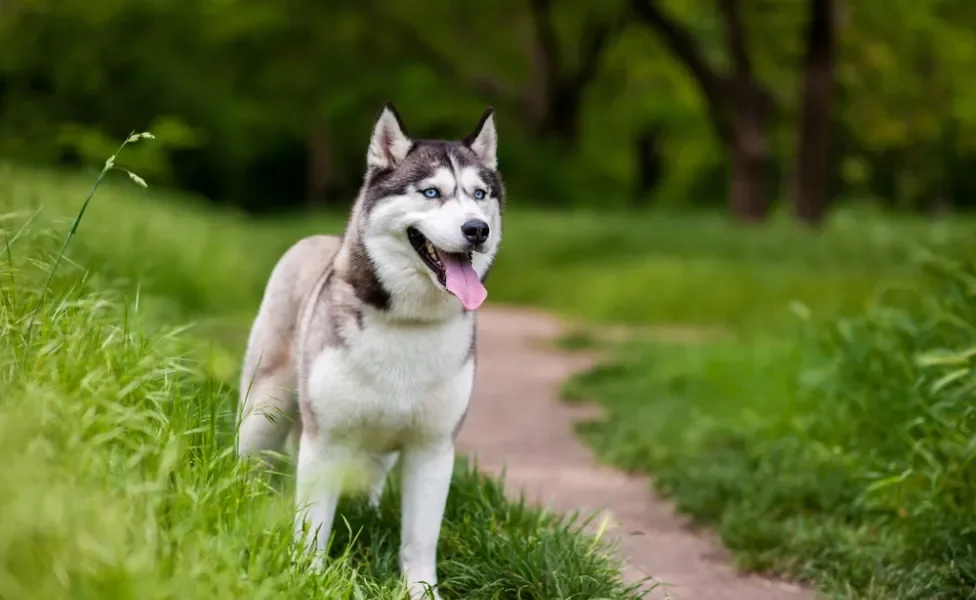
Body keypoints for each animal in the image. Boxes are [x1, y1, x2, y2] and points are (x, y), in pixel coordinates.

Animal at [236, 105, 504, 596]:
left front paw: (422, 591)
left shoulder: (432, 449)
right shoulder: (324, 441)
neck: (408, 324)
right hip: (266, 408)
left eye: (479, 194)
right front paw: (308, 578)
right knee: (252, 460)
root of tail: (318, 240)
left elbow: (419, 540)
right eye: (431, 192)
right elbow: (313, 527)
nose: (477, 228)